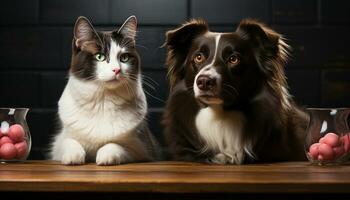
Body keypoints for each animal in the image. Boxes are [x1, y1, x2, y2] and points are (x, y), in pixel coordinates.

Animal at [49, 16, 159, 166]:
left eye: (124, 58)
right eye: (99, 56)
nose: (117, 70)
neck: (103, 99)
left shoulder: (144, 149)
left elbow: (116, 145)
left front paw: (105, 155)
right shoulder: (58, 144)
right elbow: (69, 142)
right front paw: (73, 156)